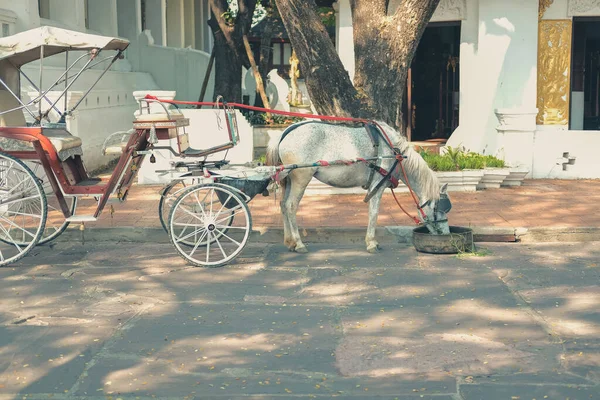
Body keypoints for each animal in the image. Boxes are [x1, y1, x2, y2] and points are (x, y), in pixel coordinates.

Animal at [266, 119, 450, 253]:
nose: (446, 233)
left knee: (283, 205)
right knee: (291, 206)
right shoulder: (377, 185)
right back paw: (299, 243)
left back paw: (290, 242)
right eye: (439, 208)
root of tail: (286, 133)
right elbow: (374, 213)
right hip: (301, 178)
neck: (394, 151)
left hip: (288, 179)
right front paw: (372, 243)